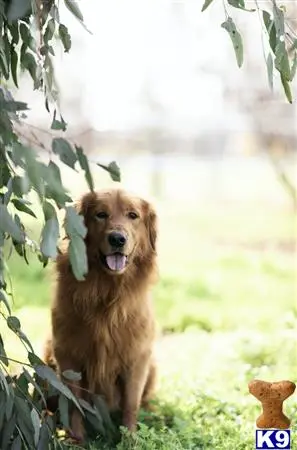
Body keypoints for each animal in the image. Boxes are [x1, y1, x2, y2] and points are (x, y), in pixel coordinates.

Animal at [43, 188, 157, 442]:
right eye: (101, 214)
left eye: (133, 215)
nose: (117, 239)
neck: (107, 292)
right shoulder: (68, 354)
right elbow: (74, 402)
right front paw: (75, 439)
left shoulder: (137, 356)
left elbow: (131, 403)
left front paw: (130, 440)